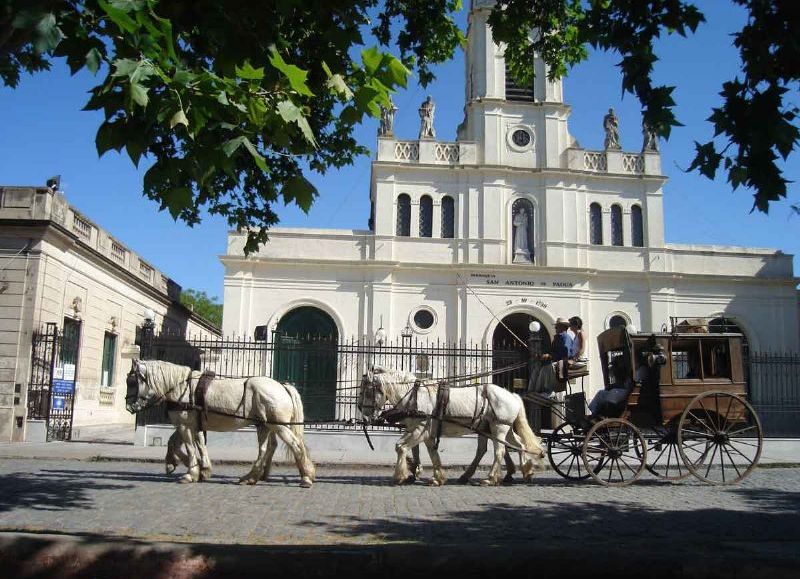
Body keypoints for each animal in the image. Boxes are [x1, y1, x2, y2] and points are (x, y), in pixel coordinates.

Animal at [123, 360, 314, 488]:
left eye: (131, 381)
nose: (129, 406)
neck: (180, 387)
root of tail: (282, 386)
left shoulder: (185, 424)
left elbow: (190, 448)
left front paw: (191, 472)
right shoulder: (191, 424)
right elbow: (181, 444)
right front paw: (191, 466)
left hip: (278, 425)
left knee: (294, 445)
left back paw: (306, 477)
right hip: (265, 425)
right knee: (266, 449)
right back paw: (251, 477)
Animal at [360, 368, 548, 484]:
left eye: (367, 391)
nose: (364, 412)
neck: (414, 395)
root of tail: (513, 395)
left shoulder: (420, 429)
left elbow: (400, 447)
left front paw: (400, 475)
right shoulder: (426, 432)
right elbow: (431, 453)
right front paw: (437, 477)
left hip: (499, 428)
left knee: (500, 450)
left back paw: (491, 478)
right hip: (496, 428)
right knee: (517, 445)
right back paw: (525, 471)